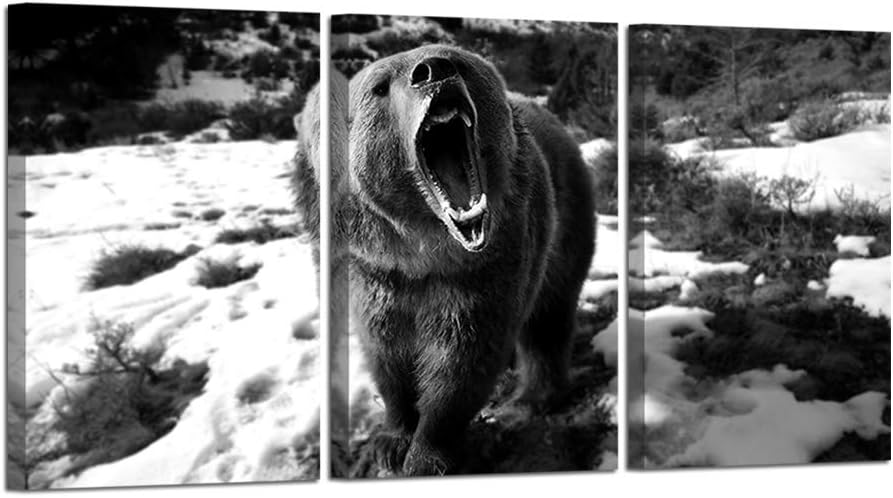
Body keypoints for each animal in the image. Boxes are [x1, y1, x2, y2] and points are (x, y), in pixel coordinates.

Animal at [342, 44, 596, 476]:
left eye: (457, 62)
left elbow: (463, 360)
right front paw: (391, 441)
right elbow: (387, 355)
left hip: (564, 227)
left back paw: (529, 399)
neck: (425, 251)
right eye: (379, 86)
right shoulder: (377, 275)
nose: (433, 70)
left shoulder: (486, 268)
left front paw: (427, 455)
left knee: (548, 320)